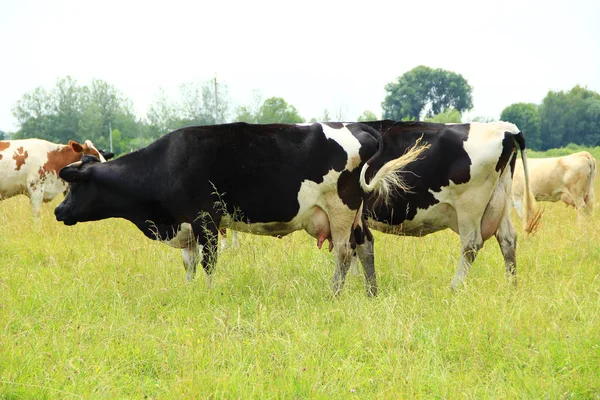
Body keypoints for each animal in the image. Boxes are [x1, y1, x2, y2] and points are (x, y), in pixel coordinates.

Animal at [54, 122, 424, 294]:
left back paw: (334, 293)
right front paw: (189, 291)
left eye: (76, 185)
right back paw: (371, 293)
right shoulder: (187, 225)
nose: (59, 211)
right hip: (356, 212)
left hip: (341, 207)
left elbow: (208, 262)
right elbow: (189, 264)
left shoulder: (205, 219)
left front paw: (207, 293)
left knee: (346, 252)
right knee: (366, 246)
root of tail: (357, 126)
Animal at [352, 120, 540, 292]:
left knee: (471, 244)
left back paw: (454, 287)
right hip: (501, 199)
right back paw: (511, 287)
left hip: (470, 204)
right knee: (507, 239)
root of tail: (504, 128)